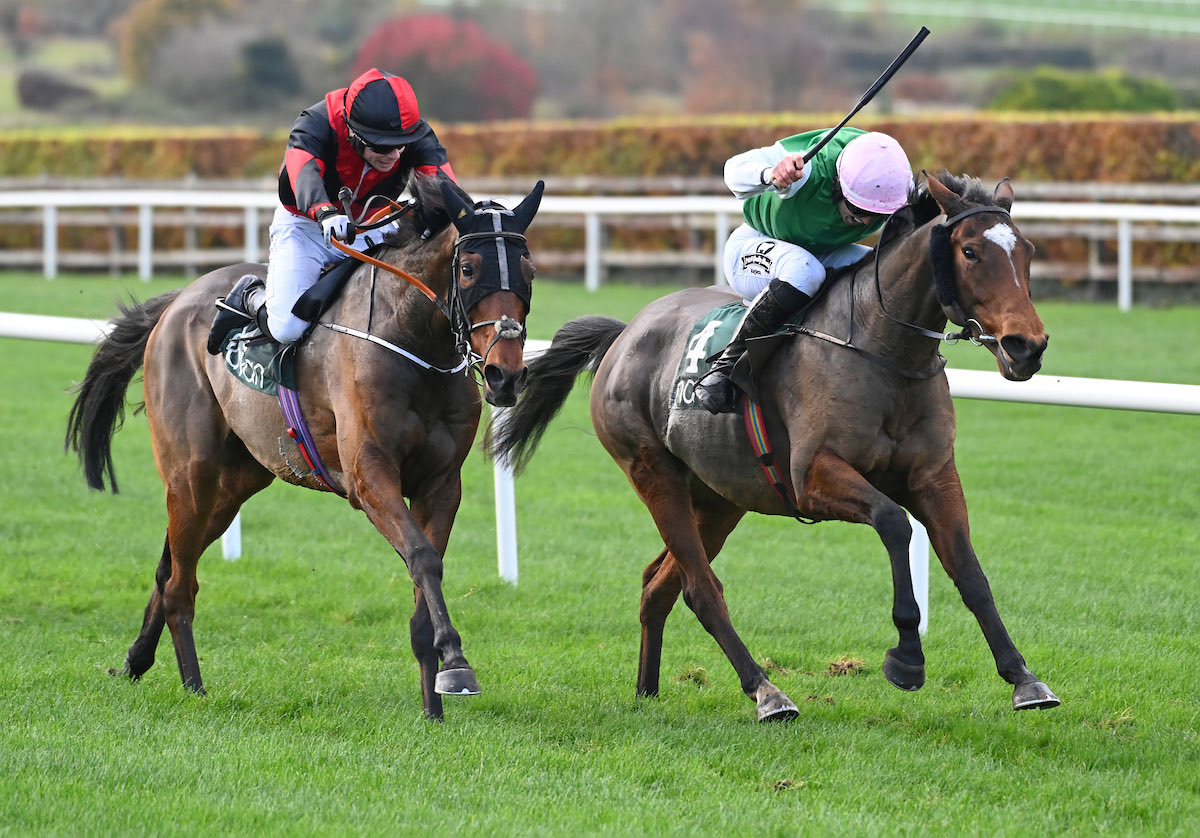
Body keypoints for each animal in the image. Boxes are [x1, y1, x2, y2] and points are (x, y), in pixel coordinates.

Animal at [68, 171, 547, 720]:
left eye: (529, 271)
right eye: (469, 269)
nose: (505, 375)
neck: (412, 341)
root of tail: (176, 302)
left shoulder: (441, 484)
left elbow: (426, 574)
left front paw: (434, 704)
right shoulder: (368, 476)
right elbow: (424, 558)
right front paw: (457, 663)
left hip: (235, 483)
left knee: (170, 564)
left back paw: (136, 660)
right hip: (191, 472)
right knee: (179, 584)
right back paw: (193, 686)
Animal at [487, 168, 1060, 720]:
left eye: (1029, 250)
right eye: (970, 252)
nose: (1026, 347)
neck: (880, 350)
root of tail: (625, 334)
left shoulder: (935, 476)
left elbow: (970, 572)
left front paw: (1023, 678)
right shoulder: (813, 476)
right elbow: (894, 522)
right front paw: (906, 656)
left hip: (718, 499)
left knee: (660, 585)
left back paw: (647, 693)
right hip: (653, 472)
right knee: (700, 588)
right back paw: (766, 692)